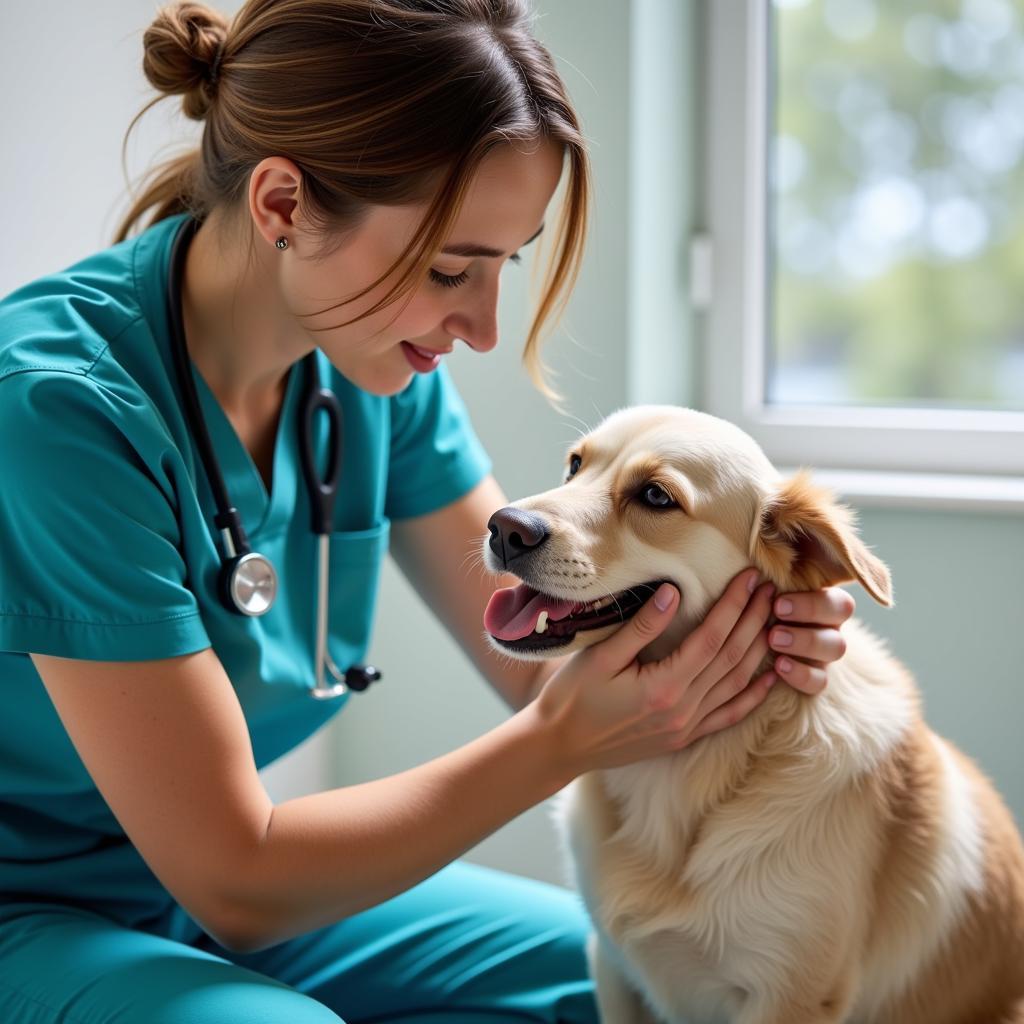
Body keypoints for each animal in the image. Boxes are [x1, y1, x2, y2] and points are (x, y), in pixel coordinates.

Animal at [479, 403, 1024, 1019]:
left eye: (657, 497)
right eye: (575, 464)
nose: (504, 527)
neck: (685, 770)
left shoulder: (791, 994)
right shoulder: (611, 964)